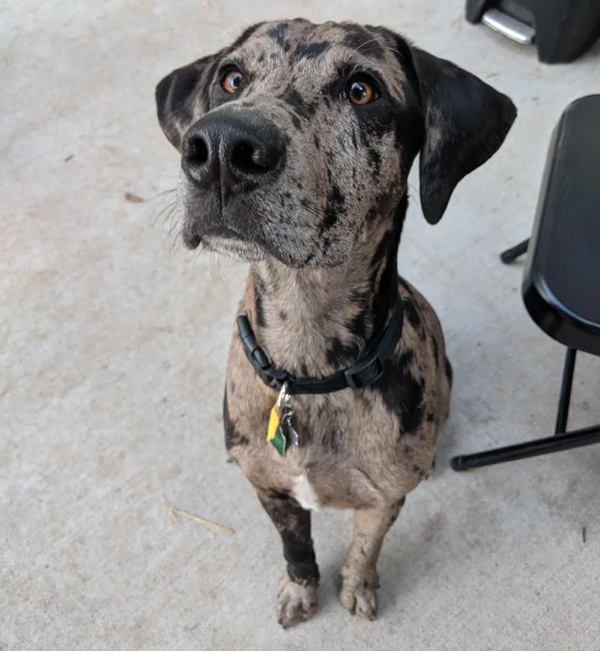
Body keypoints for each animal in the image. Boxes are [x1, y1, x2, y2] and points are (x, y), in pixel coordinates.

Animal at [155, 19, 516, 628]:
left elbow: (366, 546)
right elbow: (295, 545)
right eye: (232, 78)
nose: (223, 146)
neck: (307, 372)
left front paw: (358, 585)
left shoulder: (383, 497)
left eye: (361, 90)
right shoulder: (270, 488)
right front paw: (301, 588)